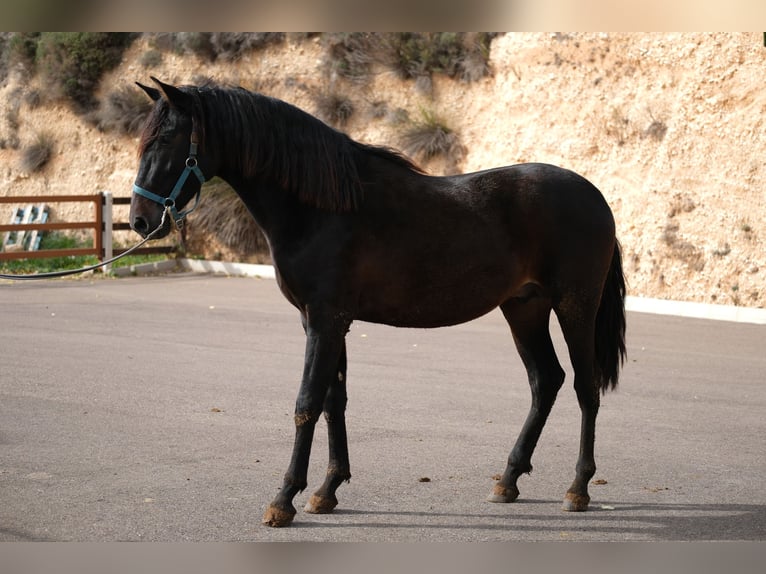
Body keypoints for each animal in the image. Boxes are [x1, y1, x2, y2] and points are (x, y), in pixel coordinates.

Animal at [129, 79, 628, 528]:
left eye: (168, 139)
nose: (140, 220)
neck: (321, 209)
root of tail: (596, 197)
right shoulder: (325, 322)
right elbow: (334, 401)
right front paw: (327, 491)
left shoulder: (326, 321)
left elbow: (306, 403)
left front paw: (284, 499)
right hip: (524, 308)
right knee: (546, 381)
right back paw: (508, 480)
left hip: (575, 306)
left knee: (585, 387)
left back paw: (578, 489)